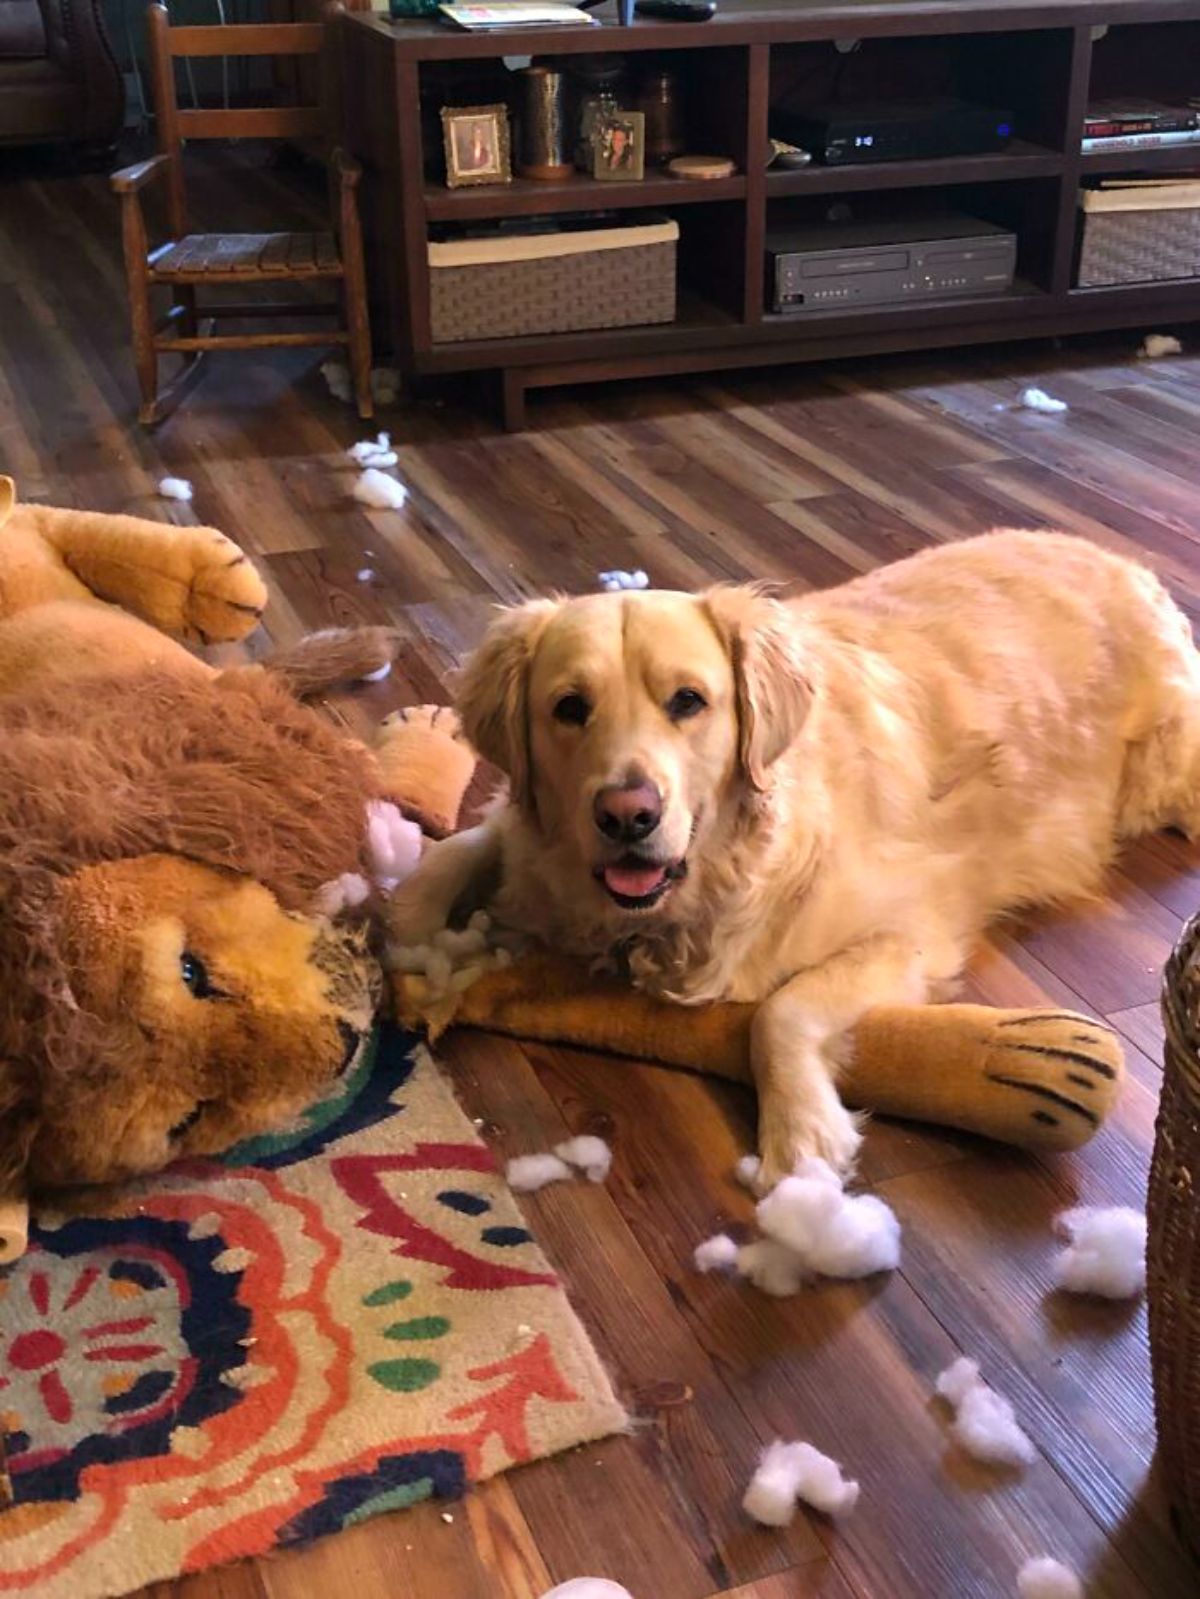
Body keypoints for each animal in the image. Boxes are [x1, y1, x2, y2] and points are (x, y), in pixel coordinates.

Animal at [392, 534, 1200, 1189]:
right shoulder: (531, 841)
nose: (627, 815)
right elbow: (455, 850)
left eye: (688, 701)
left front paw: (800, 1140)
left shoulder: (911, 929)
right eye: (569, 708)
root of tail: (1128, 565)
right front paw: (410, 929)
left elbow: (783, 1008)